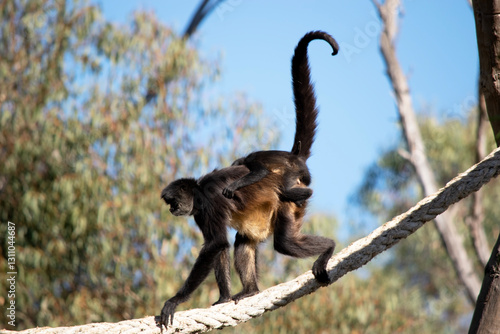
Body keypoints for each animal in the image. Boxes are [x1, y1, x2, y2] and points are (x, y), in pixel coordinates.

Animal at [155, 31, 340, 328]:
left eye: (172, 201)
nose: (172, 209)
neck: (199, 191)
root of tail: (292, 162)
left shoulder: (209, 201)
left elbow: (215, 244)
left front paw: (175, 300)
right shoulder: (200, 212)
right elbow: (218, 247)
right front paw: (223, 297)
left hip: (289, 199)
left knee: (284, 242)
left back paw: (329, 247)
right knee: (244, 241)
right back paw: (251, 290)